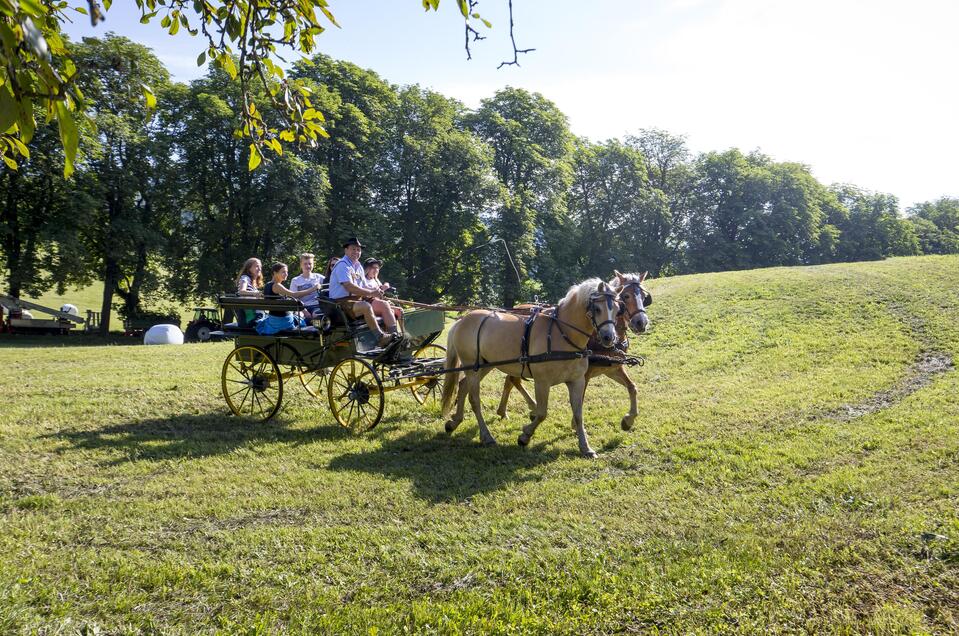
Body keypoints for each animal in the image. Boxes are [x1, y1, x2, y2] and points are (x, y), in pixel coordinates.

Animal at [438, 278, 620, 458]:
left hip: (483, 365)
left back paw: (454, 422)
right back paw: (486, 436)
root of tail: (462, 320)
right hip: (473, 367)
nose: (609, 337)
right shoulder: (542, 382)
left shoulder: (577, 381)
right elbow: (541, 413)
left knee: (463, 386)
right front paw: (525, 436)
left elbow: (578, 414)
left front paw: (585, 447)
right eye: (597, 308)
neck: (562, 334)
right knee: (474, 399)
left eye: (618, 309)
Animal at [496, 270, 652, 432]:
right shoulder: (585, 374)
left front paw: (628, 419)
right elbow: (581, 399)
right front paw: (575, 424)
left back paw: (505, 411)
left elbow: (632, 388)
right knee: (513, 380)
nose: (641, 323)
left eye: (644, 297)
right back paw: (529, 407)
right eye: (626, 296)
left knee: (511, 380)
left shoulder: (613, 369)